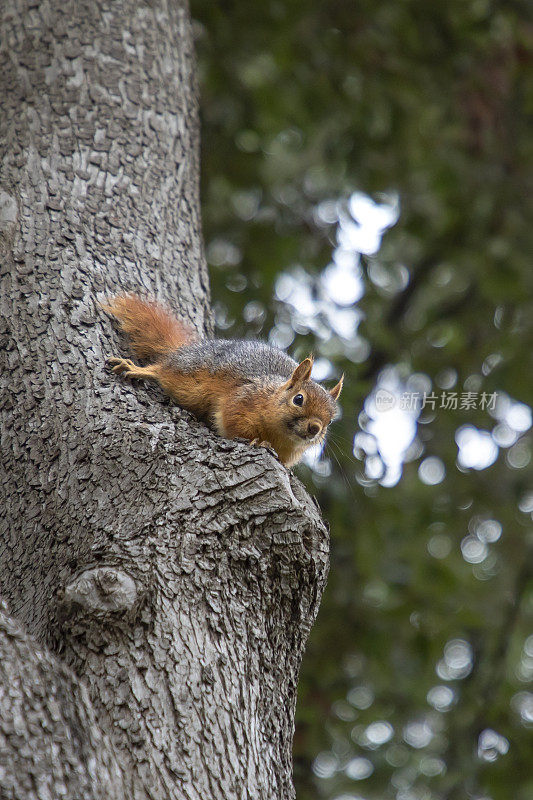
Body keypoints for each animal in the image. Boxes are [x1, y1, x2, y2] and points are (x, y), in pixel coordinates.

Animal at [103, 294, 342, 468]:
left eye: (330, 421)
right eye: (298, 399)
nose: (315, 428)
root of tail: (185, 351)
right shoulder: (243, 399)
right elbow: (233, 422)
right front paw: (257, 441)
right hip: (190, 379)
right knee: (163, 370)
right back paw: (140, 370)